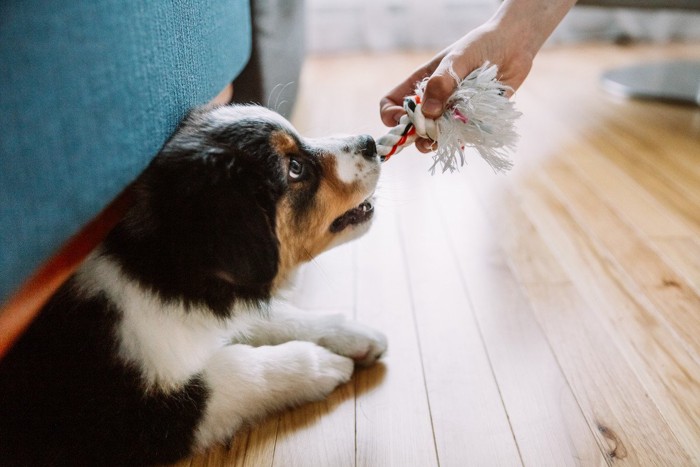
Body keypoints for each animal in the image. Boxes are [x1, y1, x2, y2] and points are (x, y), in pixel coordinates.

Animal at [0, 104, 388, 466]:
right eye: (295, 168)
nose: (370, 142)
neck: (157, 269)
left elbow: (273, 318)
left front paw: (354, 334)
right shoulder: (134, 417)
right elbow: (237, 369)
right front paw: (325, 365)